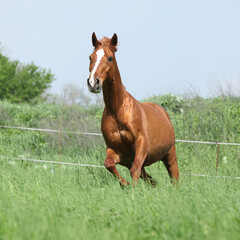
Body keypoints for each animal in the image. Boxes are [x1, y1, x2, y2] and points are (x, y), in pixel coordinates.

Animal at [87, 32, 179, 186]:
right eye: (90, 57)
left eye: (110, 58)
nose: (93, 83)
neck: (117, 111)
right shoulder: (118, 152)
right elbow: (109, 164)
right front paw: (125, 185)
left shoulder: (141, 147)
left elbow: (134, 171)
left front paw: (132, 189)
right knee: (149, 178)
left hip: (170, 155)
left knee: (174, 178)